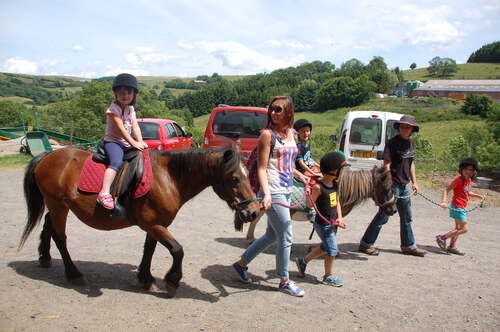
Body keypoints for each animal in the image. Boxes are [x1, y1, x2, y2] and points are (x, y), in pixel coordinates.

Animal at [17, 145, 260, 296]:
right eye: (235, 178)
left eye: (249, 175)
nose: (254, 212)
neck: (168, 178)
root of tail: (46, 157)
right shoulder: (154, 224)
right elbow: (177, 250)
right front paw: (172, 281)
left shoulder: (155, 224)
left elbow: (149, 249)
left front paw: (145, 278)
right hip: (58, 205)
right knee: (60, 237)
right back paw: (73, 273)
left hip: (58, 206)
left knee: (48, 225)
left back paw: (45, 257)